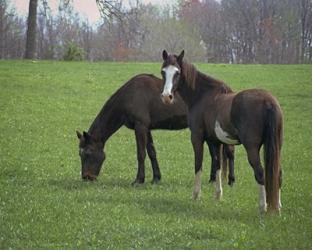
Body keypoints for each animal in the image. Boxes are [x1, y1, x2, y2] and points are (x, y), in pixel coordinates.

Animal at [77, 73, 235, 186]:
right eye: (80, 154)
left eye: (88, 153)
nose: (87, 177)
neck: (129, 96)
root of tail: (226, 89)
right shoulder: (146, 128)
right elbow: (152, 152)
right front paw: (156, 178)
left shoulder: (140, 127)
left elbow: (141, 154)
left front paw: (139, 180)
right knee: (215, 154)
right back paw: (213, 179)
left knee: (229, 152)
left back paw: (231, 180)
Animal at [161, 50, 282, 213]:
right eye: (163, 72)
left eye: (177, 72)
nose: (166, 97)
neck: (203, 96)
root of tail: (268, 102)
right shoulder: (214, 141)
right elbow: (217, 164)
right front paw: (218, 195)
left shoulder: (197, 138)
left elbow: (198, 164)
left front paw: (195, 195)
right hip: (276, 147)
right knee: (277, 173)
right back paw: (278, 207)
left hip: (251, 148)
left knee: (260, 173)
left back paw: (263, 207)